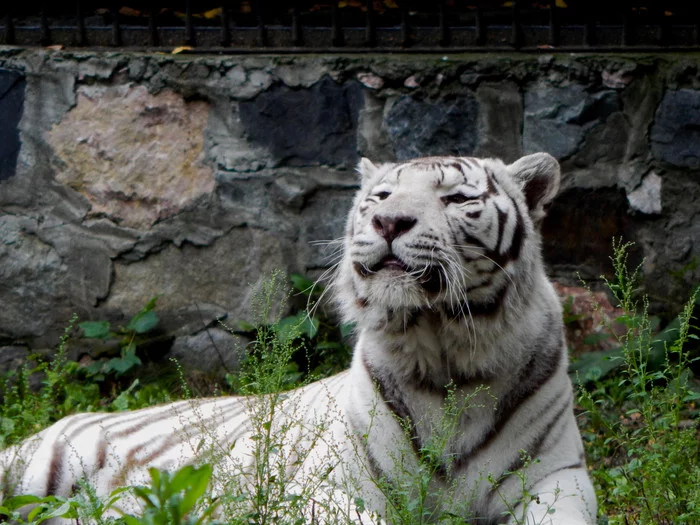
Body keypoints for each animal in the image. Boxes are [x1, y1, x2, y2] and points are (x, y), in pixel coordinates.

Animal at [2, 152, 600, 524]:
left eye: (455, 199)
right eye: (382, 195)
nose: (389, 222)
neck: (445, 348)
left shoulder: (559, 478)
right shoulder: (324, 487)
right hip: (28, 472)